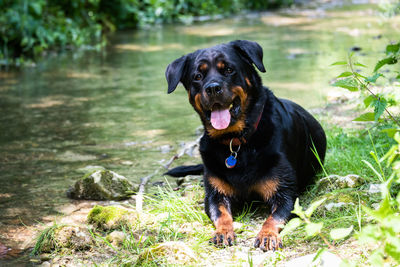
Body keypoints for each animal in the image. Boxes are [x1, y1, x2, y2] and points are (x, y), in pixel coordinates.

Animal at [164, 40, 326, 252]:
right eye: (197, 76)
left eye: (229, 70)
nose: (212, 88)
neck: (236, 142)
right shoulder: (215, 194)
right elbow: (221, 214)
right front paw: (223, 232)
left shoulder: (285, 193)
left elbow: (274, 217)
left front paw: (267, 235)